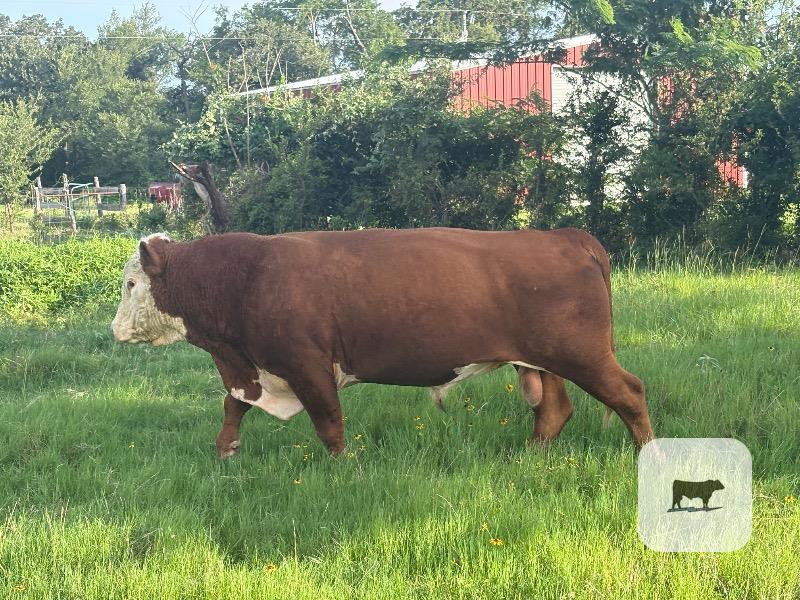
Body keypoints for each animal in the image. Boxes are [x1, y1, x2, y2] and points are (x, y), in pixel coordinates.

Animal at [111, 228, 654, 458]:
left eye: (131, 283)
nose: (113, 330)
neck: (244, 276)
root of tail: (566, 234)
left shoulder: (306, 364)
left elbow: (328, 422)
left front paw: (342, 468)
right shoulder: (253, 368)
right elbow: (233, 407)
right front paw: (226, 451)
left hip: (582, 354)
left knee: (629, 393)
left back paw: (648, 454)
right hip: (541, 361)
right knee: (554, 410)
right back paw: (529, 457)